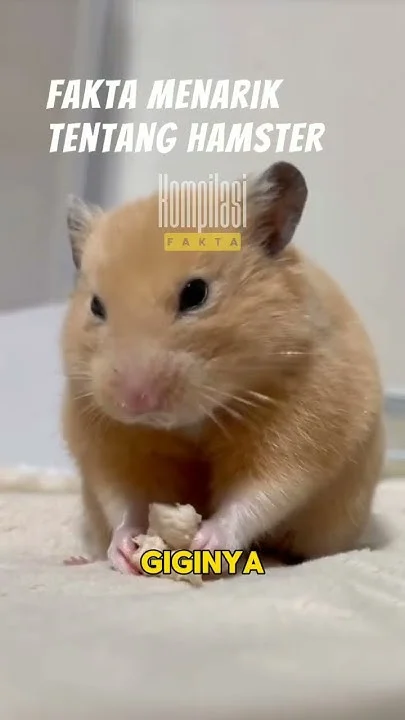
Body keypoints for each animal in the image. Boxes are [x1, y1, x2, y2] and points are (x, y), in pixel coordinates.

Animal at [61, 161, 384, 573]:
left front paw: (204, 543)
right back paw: (77, 558)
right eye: (95, 306)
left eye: (196, 294)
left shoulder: (299, 433)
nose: (136, 403)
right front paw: (127, 553)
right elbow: (125, 499)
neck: (193, 421)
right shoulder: (108, 440)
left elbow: (257, 493)